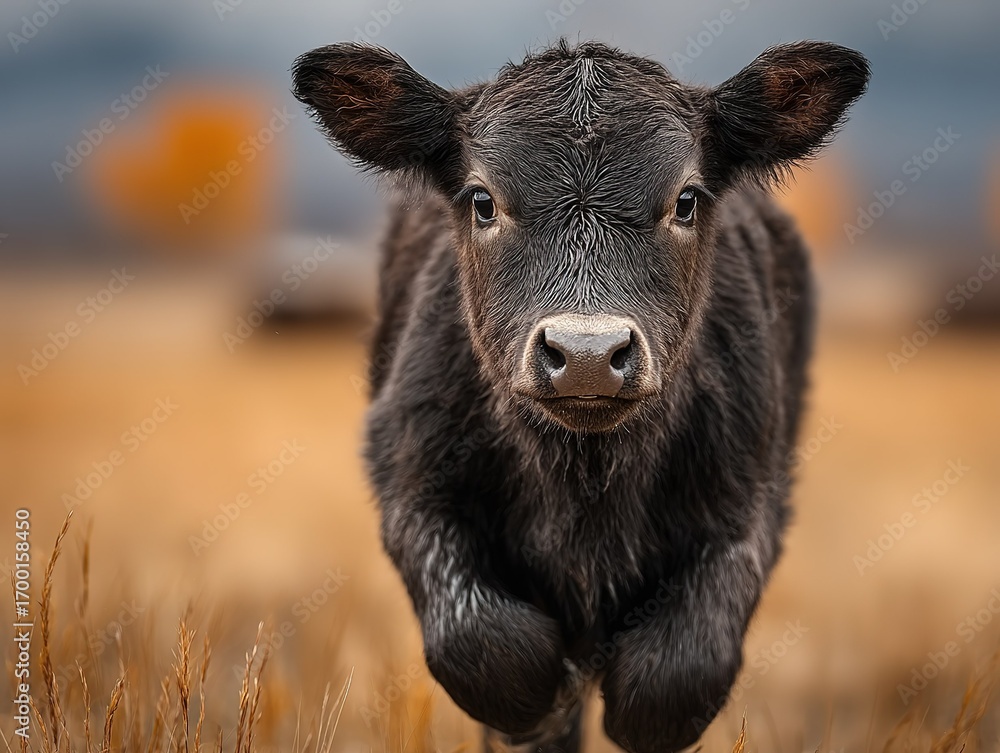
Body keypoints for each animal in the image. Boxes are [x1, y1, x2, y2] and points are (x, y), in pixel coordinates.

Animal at [292, 38, 869, 753]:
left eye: (686, 200)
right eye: (483, 200)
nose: (588, 356)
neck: (585, 484)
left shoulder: (747, 514)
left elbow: (673, 679)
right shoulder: (411, 489)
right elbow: (486, 649)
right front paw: (549, 701)